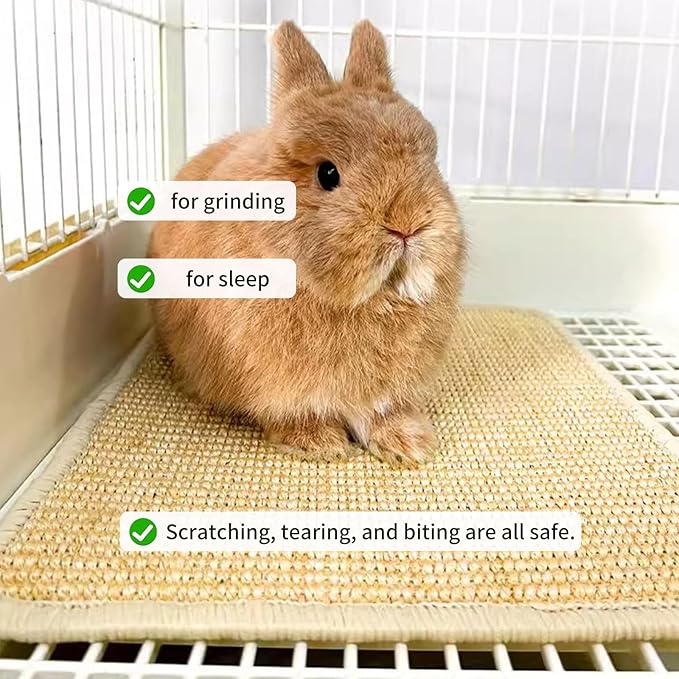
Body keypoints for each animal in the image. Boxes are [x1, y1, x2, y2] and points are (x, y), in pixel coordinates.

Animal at [148, 20, 467, 466]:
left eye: (430, 157)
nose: (408, 224)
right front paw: (319, 445)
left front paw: (410, 444)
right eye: (327, 174)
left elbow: (383, 413)